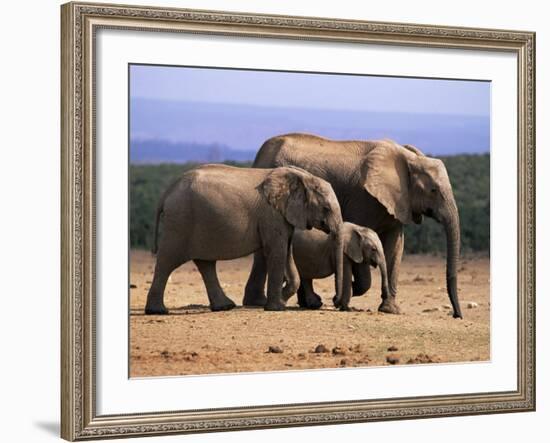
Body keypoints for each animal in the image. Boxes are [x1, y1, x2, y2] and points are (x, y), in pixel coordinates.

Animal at [147, 164, 344, 316]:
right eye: (326, 208)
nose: (335, 302)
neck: (303, 177)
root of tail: (167, 192)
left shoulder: (283, 215)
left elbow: (287, 250)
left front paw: (281, 299)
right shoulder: (271, 214)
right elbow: (277, 251)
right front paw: (276, 308)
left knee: (205, 264)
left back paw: (225, 307)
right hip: (180, 222)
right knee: (167, 260)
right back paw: (157, 311)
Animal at [244, 132, 464, 320]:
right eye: (434, 190)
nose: (456, 315)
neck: (408, 158)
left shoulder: (399, 201)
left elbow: (395, 246)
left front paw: (390, 310)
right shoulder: (363, 197)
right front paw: (348, 289)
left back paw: (306, 303)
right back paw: (262, 302)